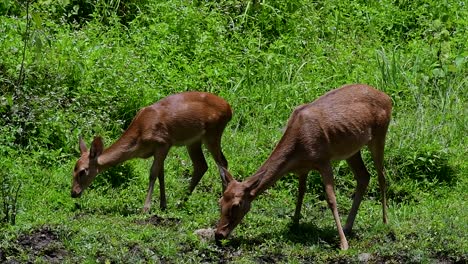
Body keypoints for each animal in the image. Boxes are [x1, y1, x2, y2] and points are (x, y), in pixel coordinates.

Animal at [71, 91, 232, 212]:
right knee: (202, 165)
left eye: (83, 171)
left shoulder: (163, 142)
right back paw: (182, 201)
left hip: (213, 133)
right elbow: (161, 174)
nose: (73, 193)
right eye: (74, 169)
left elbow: (153, 173)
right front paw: (163, 205)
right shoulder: (157, 150)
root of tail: (229, 109)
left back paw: (221, 201)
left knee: (222, 163)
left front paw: (146, 207)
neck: (139, 137)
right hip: (194, 141)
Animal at [216, 84, 392, 250]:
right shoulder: (303, 169)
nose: (219, 234)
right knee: (364, 176)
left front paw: (343, 244)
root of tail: (388, 98)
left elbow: (331, 199)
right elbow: (300, 193)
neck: (299, 151)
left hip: (380, 134)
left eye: (236, 205)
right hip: (352, 150)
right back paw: (348, 226)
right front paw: (294, 224)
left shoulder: (323, 160)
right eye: (220, 201)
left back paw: (384, 220)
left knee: (382, 176)